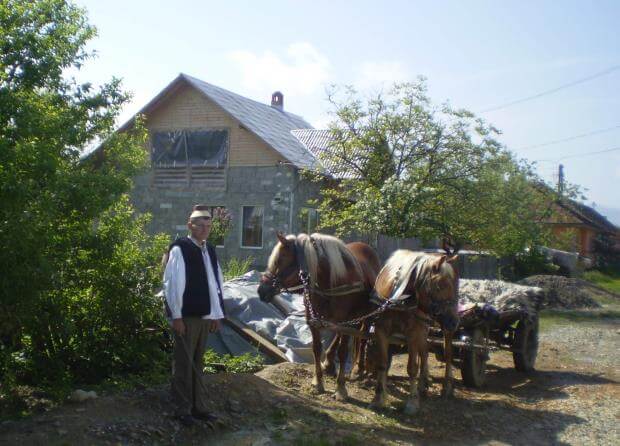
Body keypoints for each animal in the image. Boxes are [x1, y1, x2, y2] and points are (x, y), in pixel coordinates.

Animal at [256, 233, 380, 400]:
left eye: (280, 261)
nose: (261, 290)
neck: (330, 282)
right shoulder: (313, 321)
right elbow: (316, 349)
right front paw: (318, 382)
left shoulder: (346, 322)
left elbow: (343, 352)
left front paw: (340, 388)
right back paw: (329, 362)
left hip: (364, 316)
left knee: (362, 338)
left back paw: (357, 369)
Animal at [368, 251, 460, 414]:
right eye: (439, 285)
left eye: (455, 285)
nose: (454, 322)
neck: (397, 299)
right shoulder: (381, 331)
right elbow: (382, 364)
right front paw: (378, 398)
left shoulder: (413, 335)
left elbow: (412, 368)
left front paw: (412, 402)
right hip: (424, 328)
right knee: (425, 351)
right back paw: (423, 384)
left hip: (436, 330)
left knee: (448, 354)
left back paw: (447, 387)